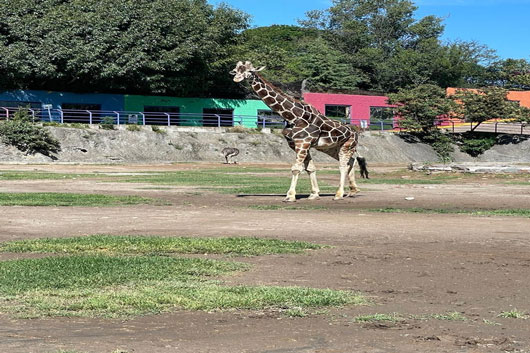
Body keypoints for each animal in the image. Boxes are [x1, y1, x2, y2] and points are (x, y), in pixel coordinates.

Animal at [229, 60, 360, 201]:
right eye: (236, 70)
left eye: (250, 71)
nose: (237, 78)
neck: (293, 116)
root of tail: (355, 132)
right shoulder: (296, 144)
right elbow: (310, 168)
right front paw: (314, 194)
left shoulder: (303, 143)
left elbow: (296, 168)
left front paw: (290, 195)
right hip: (331, 148)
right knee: (351, 161)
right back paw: (353, 191)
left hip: (347, 146)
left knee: (343, 165)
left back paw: (339, 194)